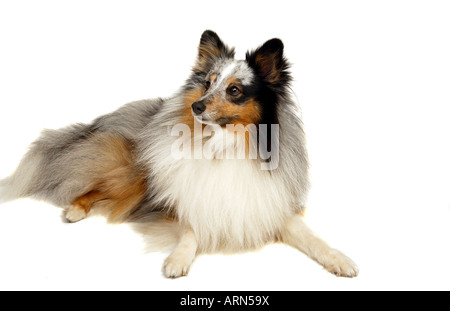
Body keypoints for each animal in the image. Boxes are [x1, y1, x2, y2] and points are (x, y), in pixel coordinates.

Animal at [0, 30, 358, 280]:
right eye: (208, 84)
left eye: (234, 90)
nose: (196, 106)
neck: (224, 145)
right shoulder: (180, 200)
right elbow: (190, 229)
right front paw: (178, 259)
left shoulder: (271, 205)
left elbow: (313, 238)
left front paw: (340, 260)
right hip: (133, 172)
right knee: (88, 184)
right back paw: (75, 209)